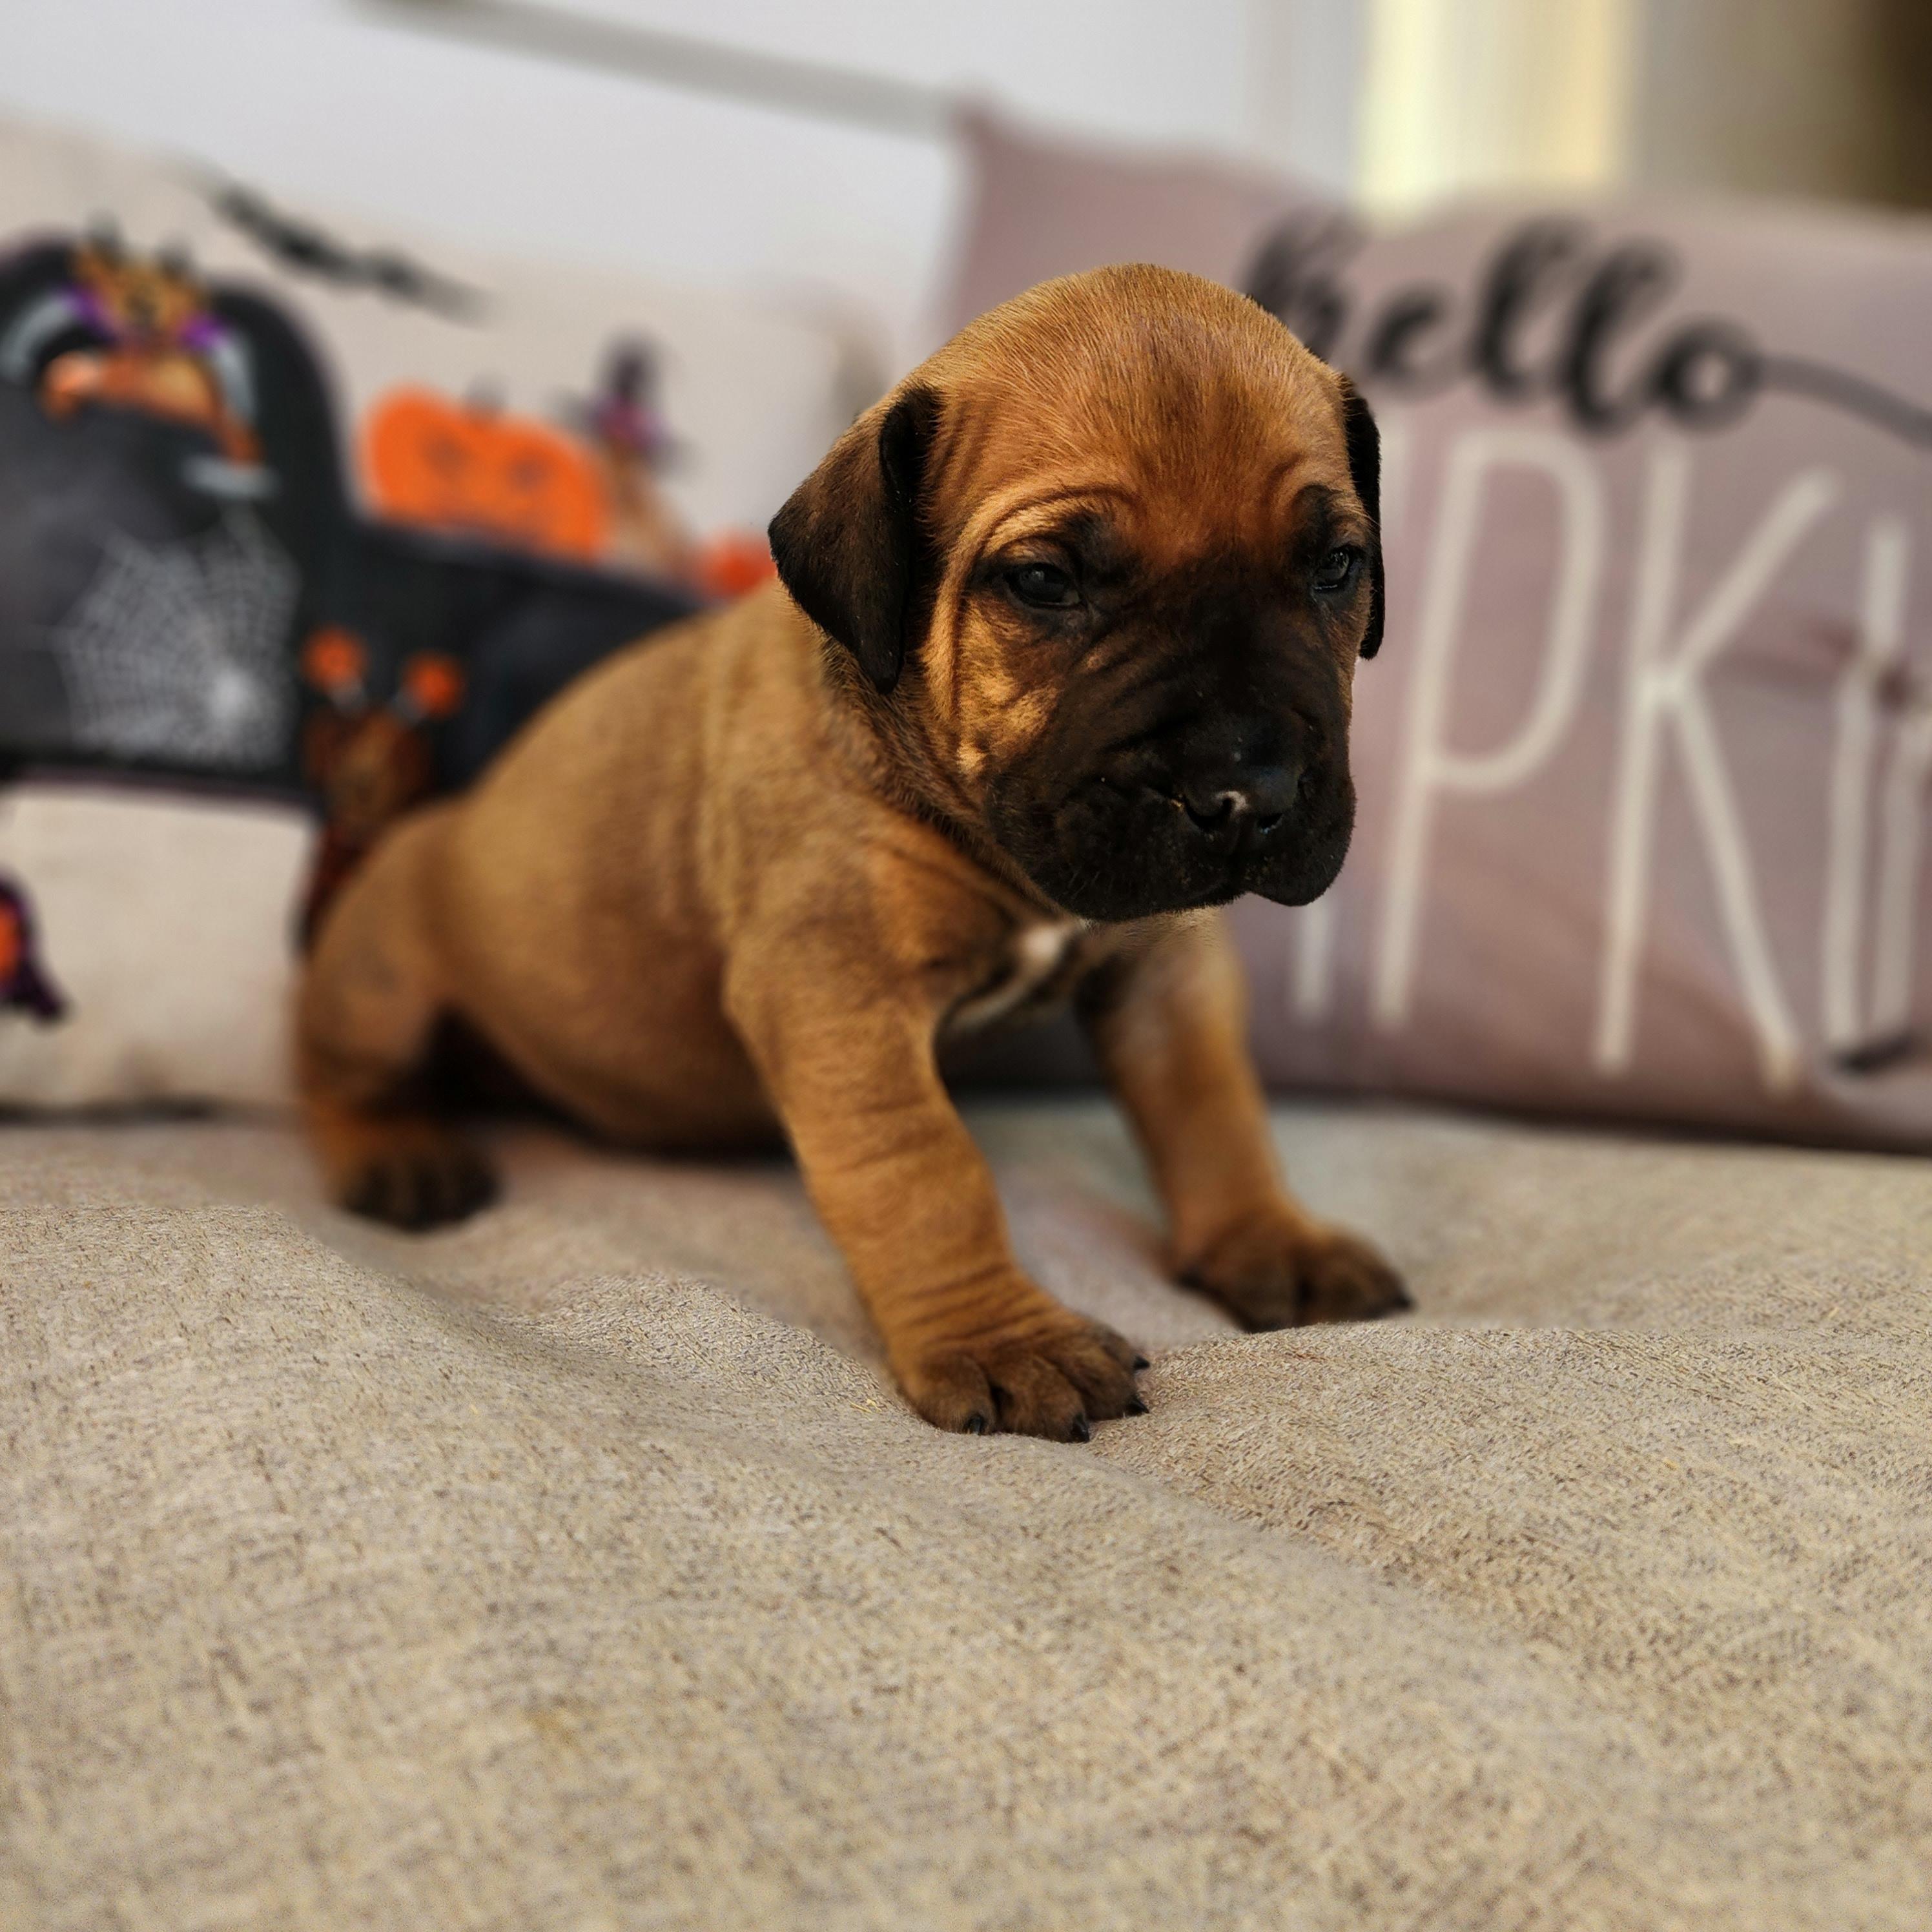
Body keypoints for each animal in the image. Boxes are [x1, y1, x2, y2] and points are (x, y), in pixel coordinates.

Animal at [299, 263, 1408, 1441]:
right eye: (1045, 582)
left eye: (1337, 568)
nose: (1251, 793)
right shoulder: (838, 993)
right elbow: (926, 1173)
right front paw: (1000, 1338)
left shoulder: (1164, 972)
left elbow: (1213, 1111)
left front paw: (1269, 1240)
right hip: (377, 972)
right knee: (334, 1070)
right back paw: (396, 1153)